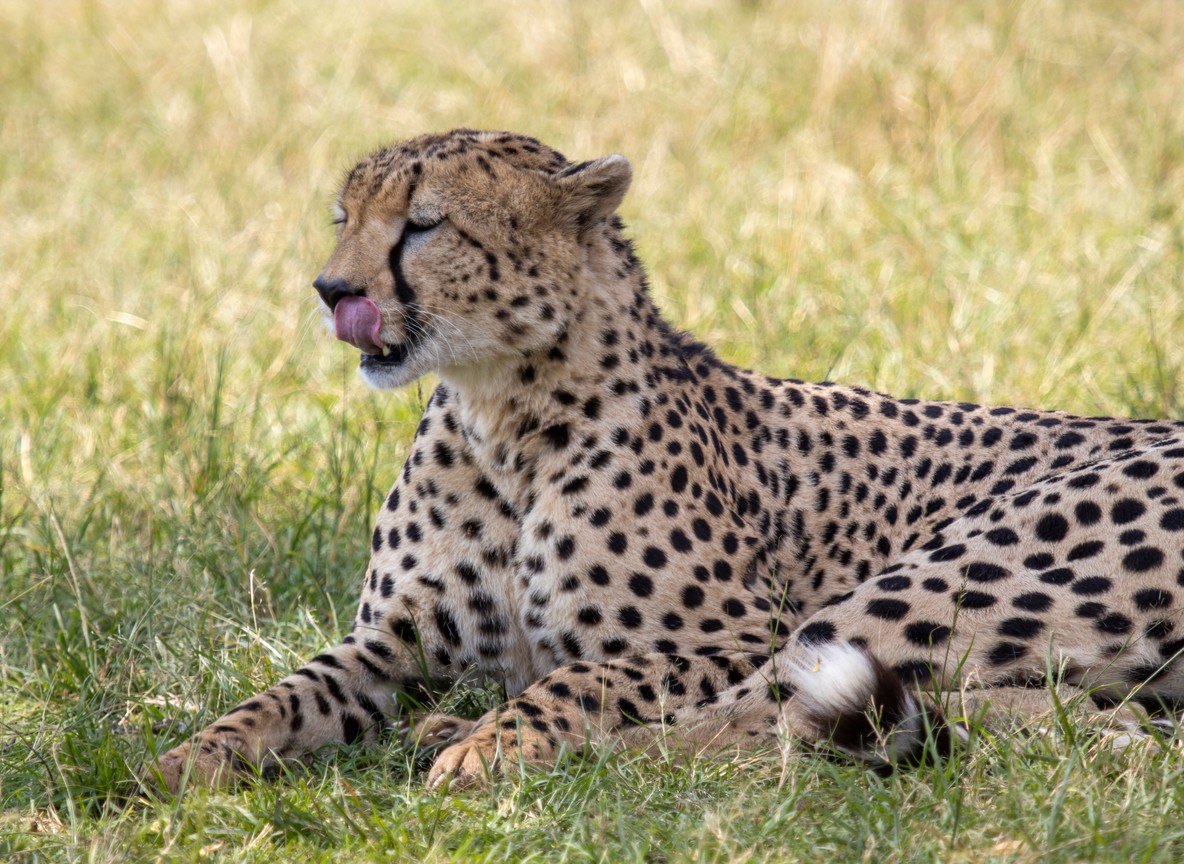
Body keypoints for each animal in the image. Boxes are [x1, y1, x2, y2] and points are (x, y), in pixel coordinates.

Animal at [152, 128, 1184, 794]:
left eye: (424, 224)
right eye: (343, 217)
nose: (333, 290)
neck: (503, 410)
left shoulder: (741, 633)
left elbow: (587, 678)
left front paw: (499, 744)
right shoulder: (394, 638)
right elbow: (291, 691)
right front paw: (191, 757)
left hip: (967, 565)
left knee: (745, 727)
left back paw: (492, 742)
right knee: (1101, 719)